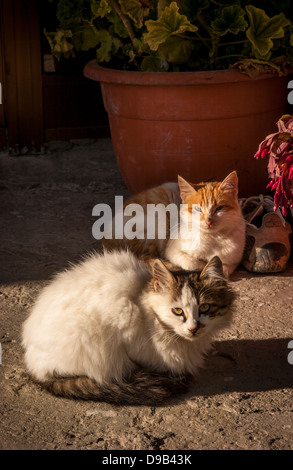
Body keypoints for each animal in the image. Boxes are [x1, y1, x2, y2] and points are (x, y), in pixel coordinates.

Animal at [102, 173, 244, 276]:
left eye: (219, 208)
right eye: (198, 209)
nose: (209, 220)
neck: (212, 239)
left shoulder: (233, 260)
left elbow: (225, 269)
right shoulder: (171, 250)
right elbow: (190, 262)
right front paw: (200, 265)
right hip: (158, 220)